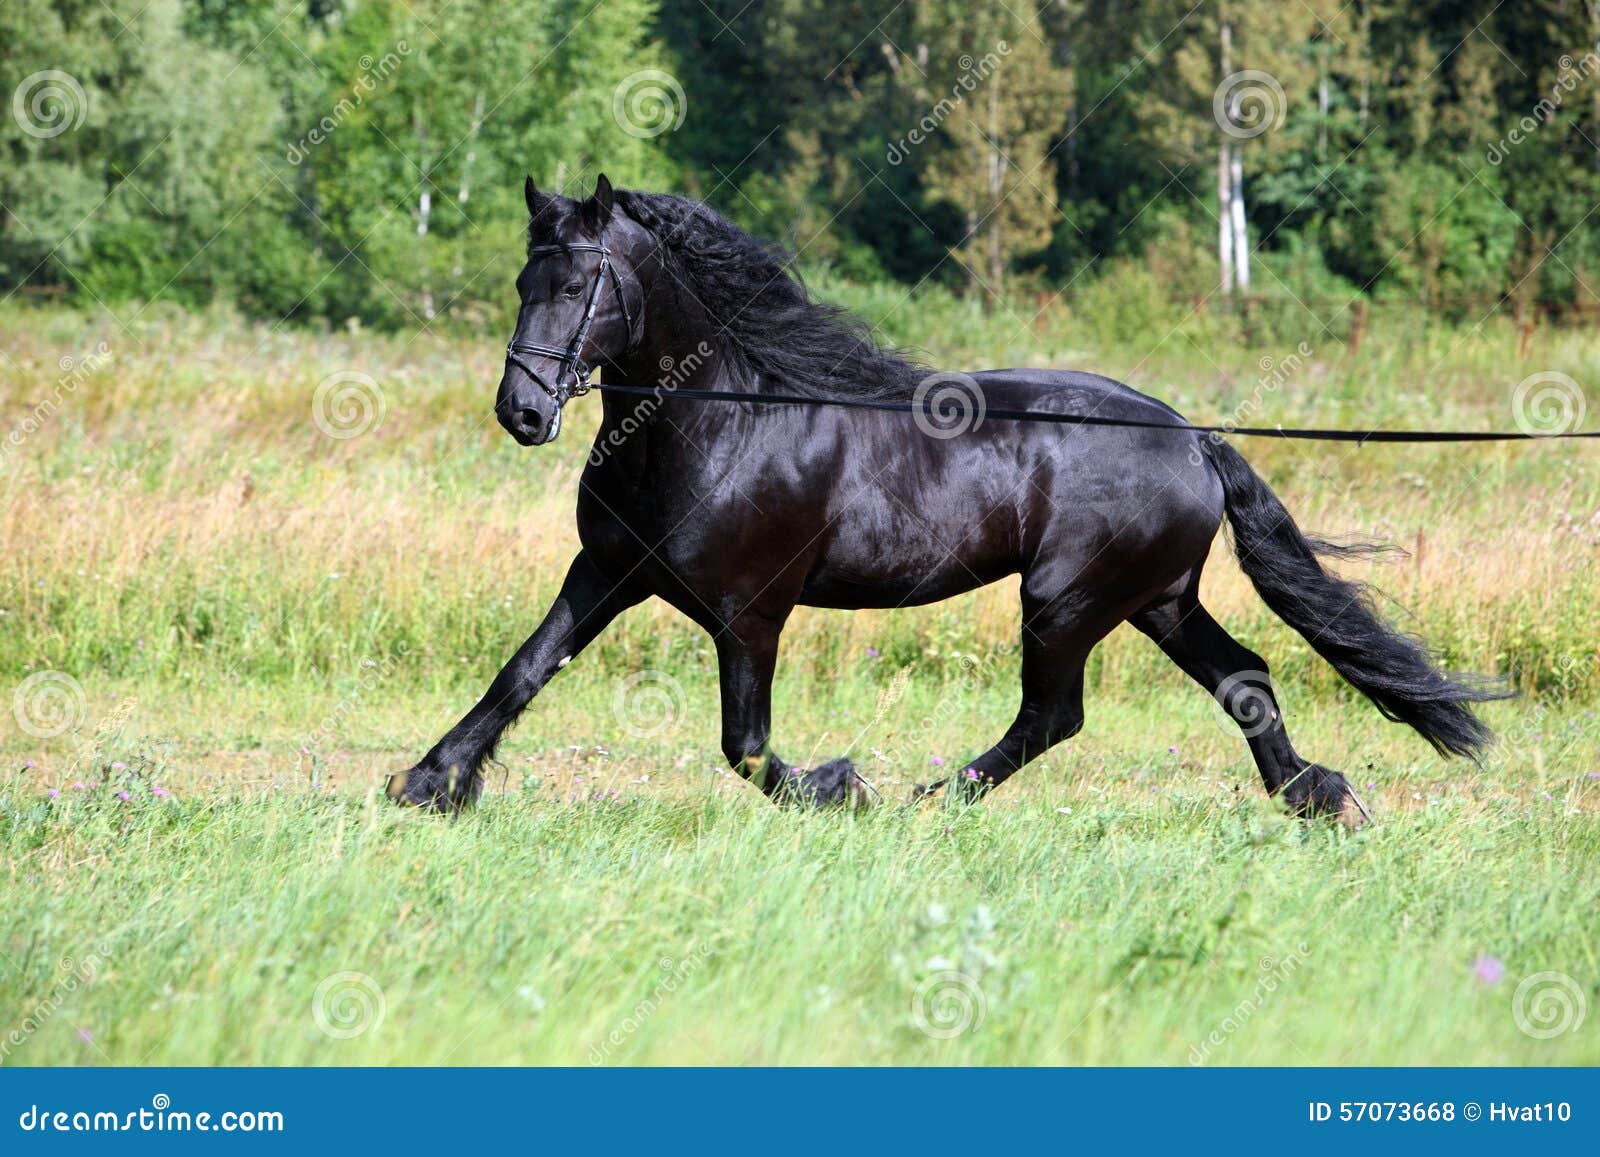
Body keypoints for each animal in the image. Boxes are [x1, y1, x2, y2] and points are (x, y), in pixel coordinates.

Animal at [384, 172, 1497, 825]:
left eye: (583, 283)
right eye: (525, 278)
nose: (522, 411)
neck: (719, 420)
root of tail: (1191, 436)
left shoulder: (750, 611)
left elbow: (745, 744)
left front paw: (839, 786)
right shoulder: (610, 569)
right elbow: (522, 671)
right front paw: (429, 782)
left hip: (1067, 601)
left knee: (1054, 713)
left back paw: (928, 798)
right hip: (1157, 599)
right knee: (1244, 679)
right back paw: (1319, 795)